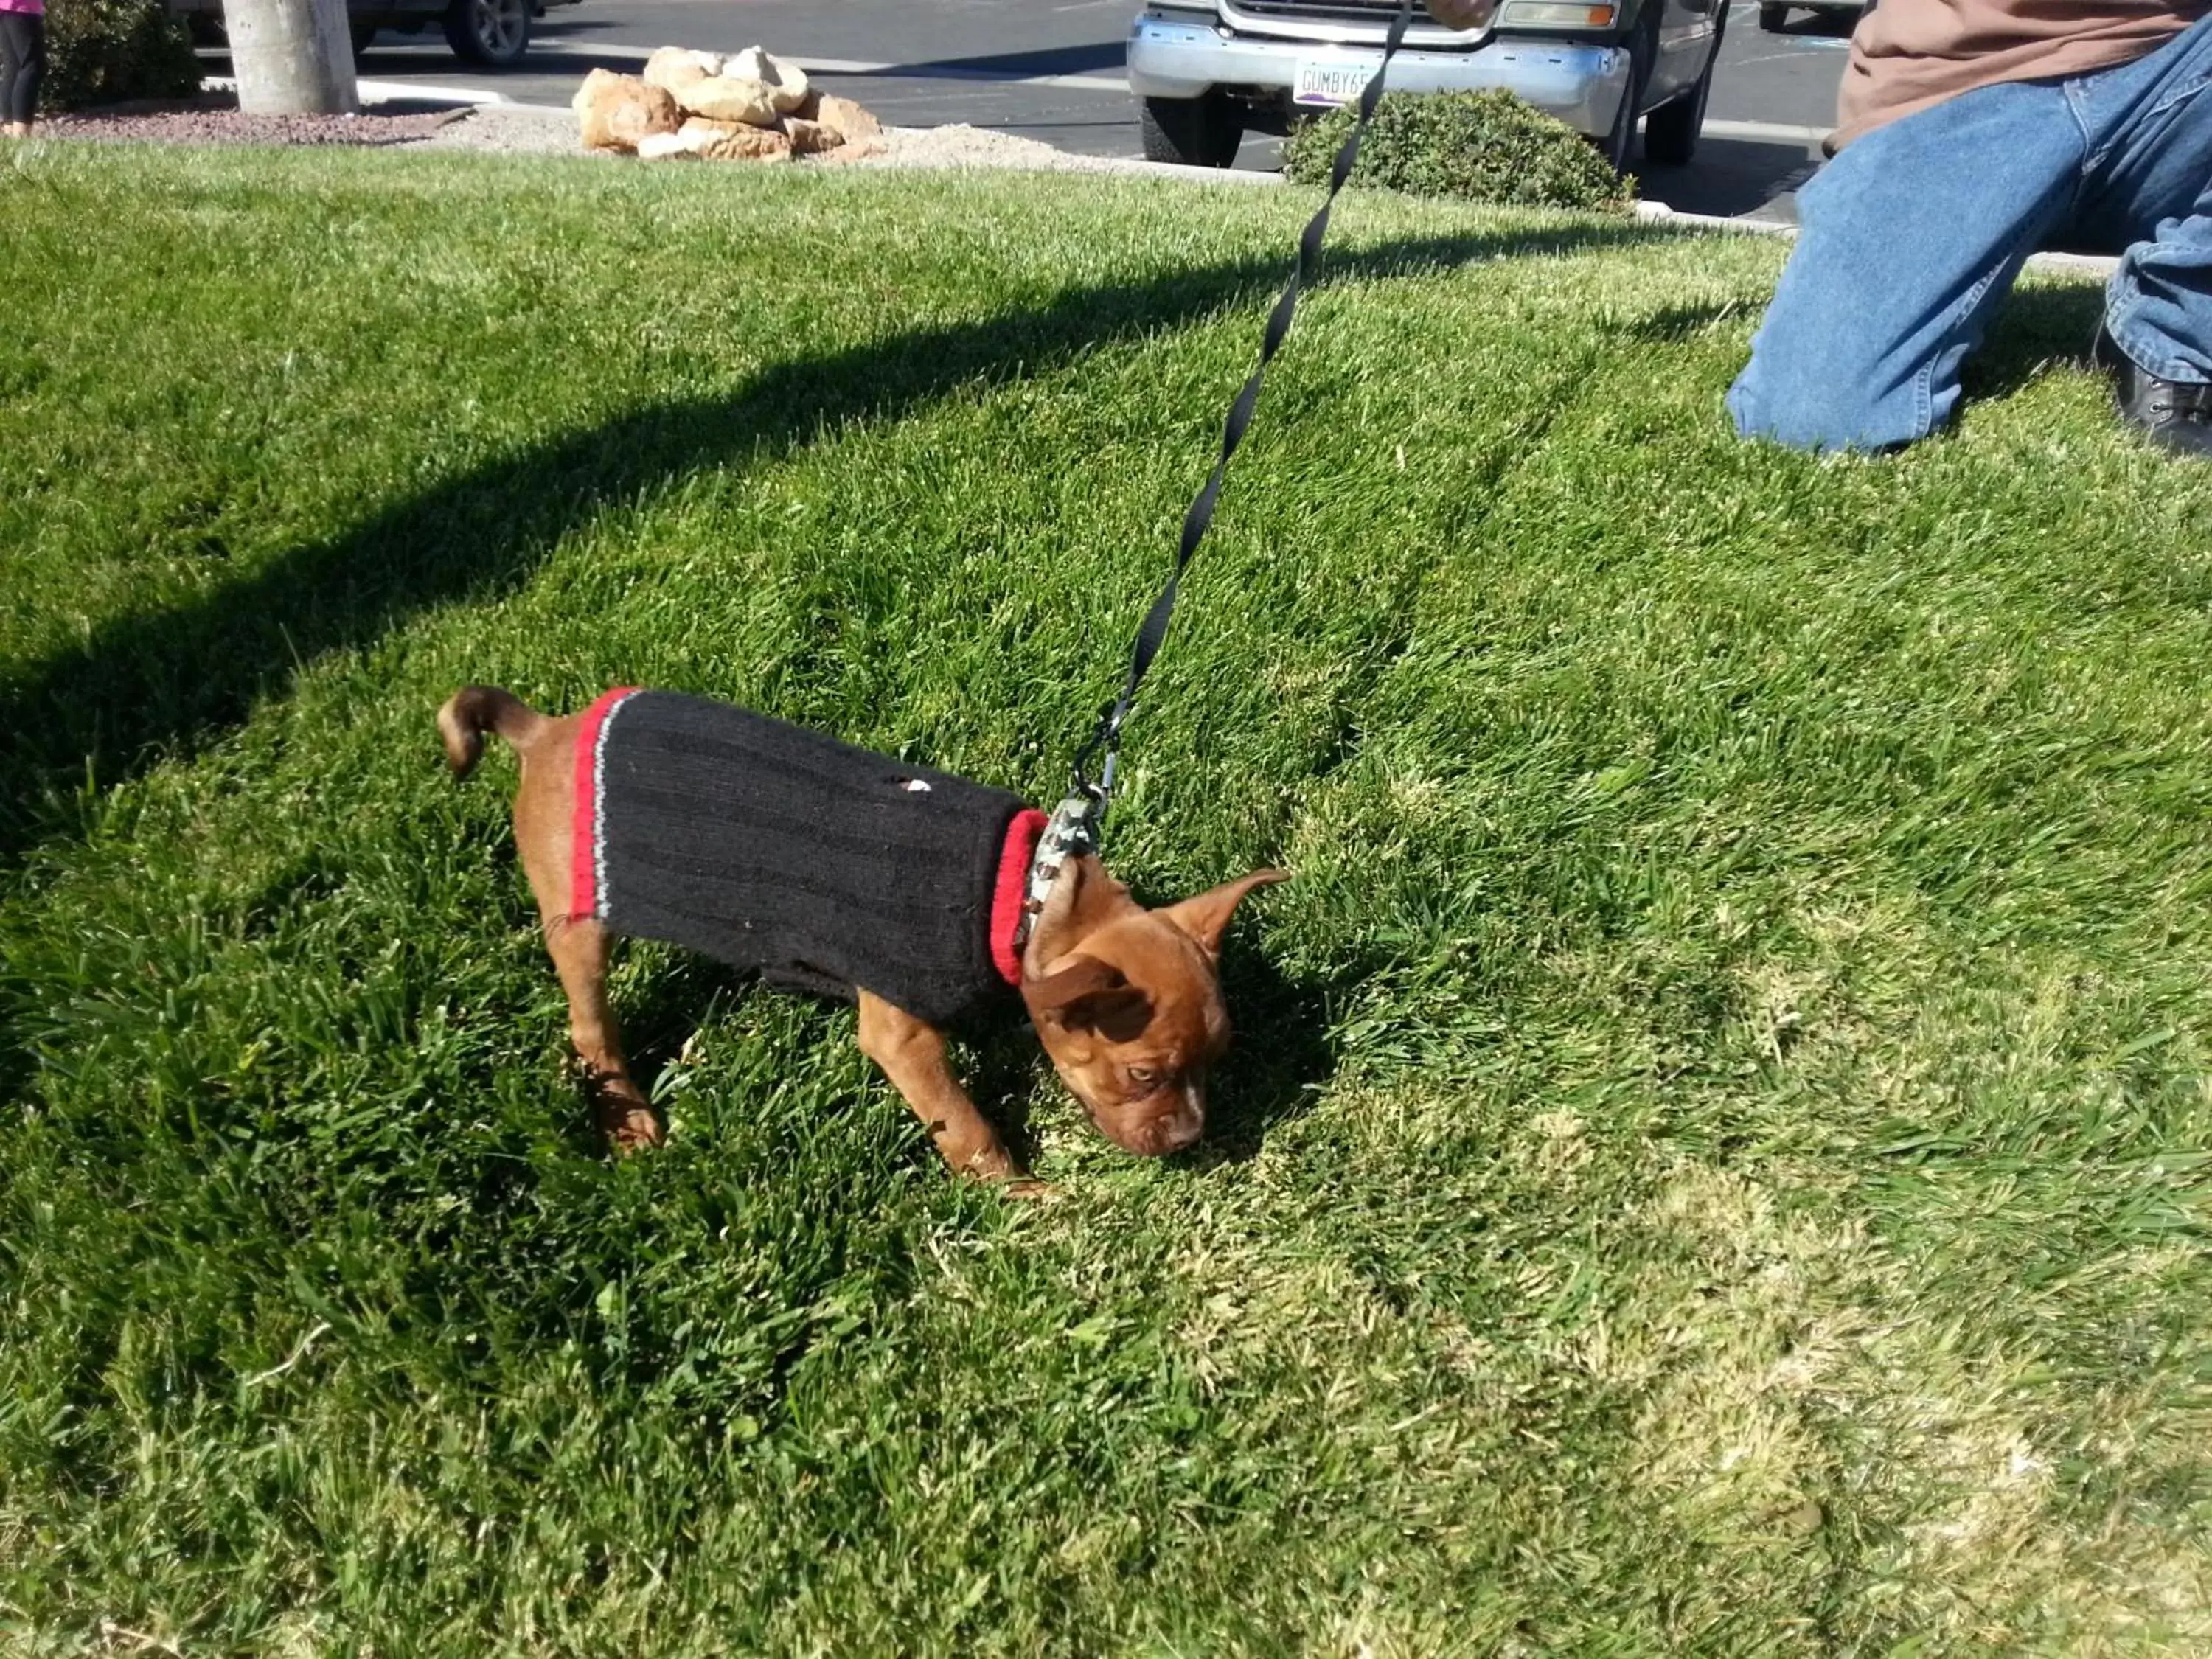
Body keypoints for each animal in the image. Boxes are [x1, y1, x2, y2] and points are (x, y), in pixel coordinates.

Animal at [438, 681, 1292, 1186]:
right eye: (1145, 1075)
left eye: (1219, 1059)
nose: (1191, 1140)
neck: (1026, 892)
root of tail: (546, 732)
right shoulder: (901, 1036)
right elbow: (966, 1126)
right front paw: (1017, 1193)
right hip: (578, 925)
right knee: (592, 1028)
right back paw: (631, 1117)